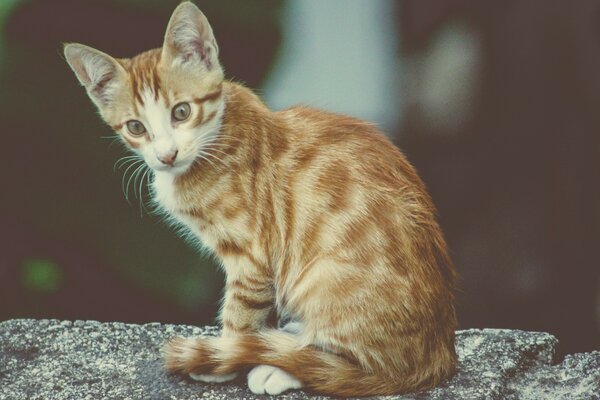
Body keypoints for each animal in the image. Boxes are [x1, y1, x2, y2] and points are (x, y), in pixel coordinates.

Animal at [63, 0, 458, 396]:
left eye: (182, 112)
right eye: (136, 127)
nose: (166, 155)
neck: (215, 138)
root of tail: (438, 356)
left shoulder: (252, 255)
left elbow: (240, 312)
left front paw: (221, 360)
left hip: (322, 280)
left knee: (355, 367)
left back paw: (281, 365)